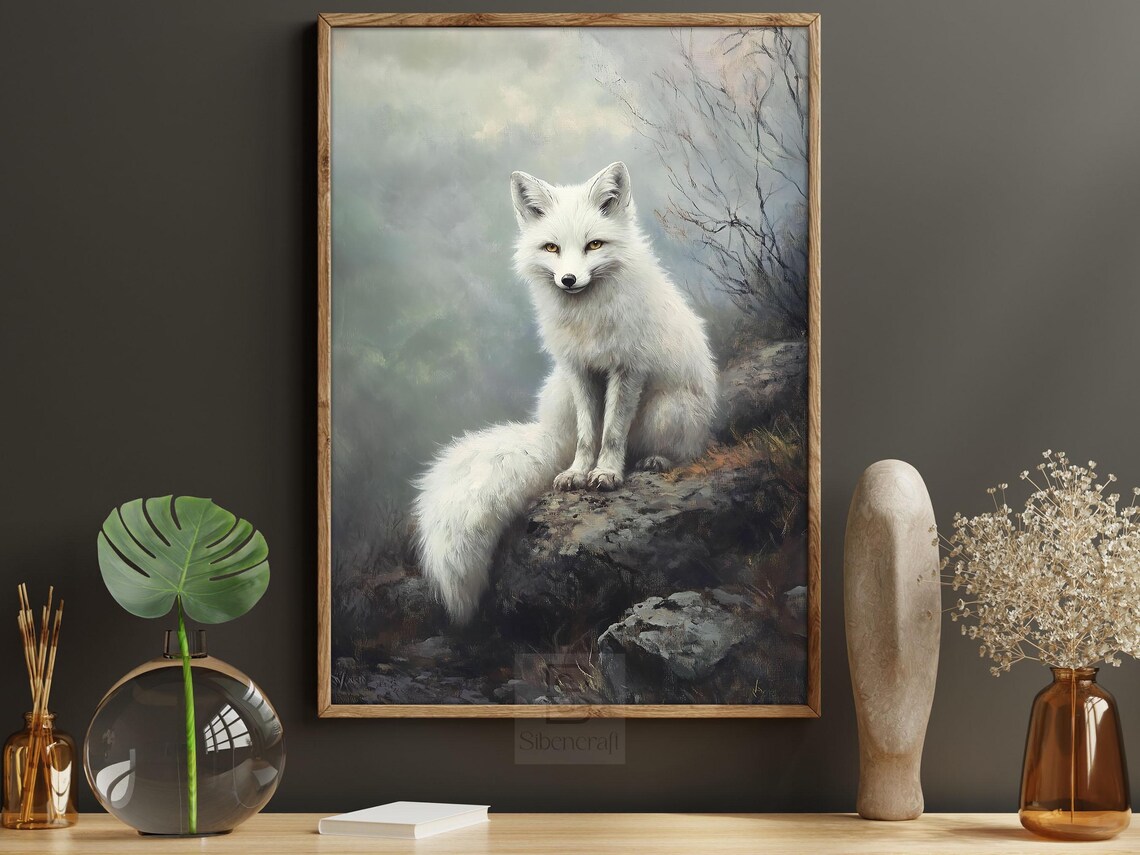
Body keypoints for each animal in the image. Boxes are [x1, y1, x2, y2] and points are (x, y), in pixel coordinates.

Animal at [412, 162, 718, 624]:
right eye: (552, 248)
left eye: (594, 244)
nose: (569, 279)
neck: (587, 319)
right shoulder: (580, 370)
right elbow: (588, 433)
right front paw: (578, 472)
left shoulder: (627, 369)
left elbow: (612, 432)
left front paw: (606, 474)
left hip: (670, 409)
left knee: (681, 448)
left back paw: (655, 460)